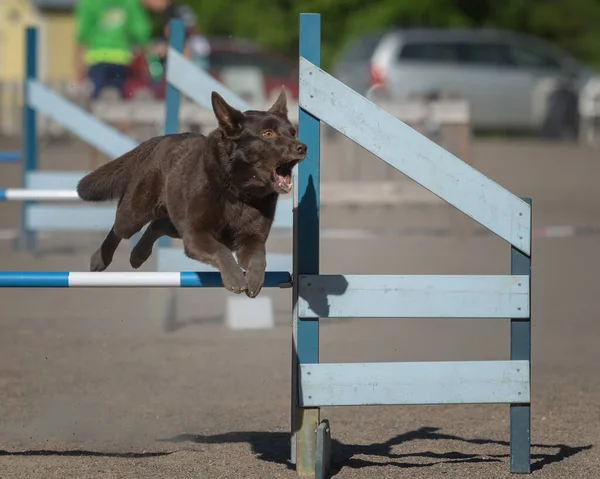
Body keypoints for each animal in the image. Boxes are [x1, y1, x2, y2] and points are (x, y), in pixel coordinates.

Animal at [77, 88, 308, 298]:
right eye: (268, 134)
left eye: (293, 132)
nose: (302, 147)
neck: (238, 192)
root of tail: (163, 139)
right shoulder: (196, 235)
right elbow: (222, 251)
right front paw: (234, 278)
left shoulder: (251, 239)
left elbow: (259, 257)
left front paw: (254, 280)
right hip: (135, 214)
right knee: (118, 228)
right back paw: (100, 258)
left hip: (176, 223)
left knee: (157, 225)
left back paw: (138, 254)